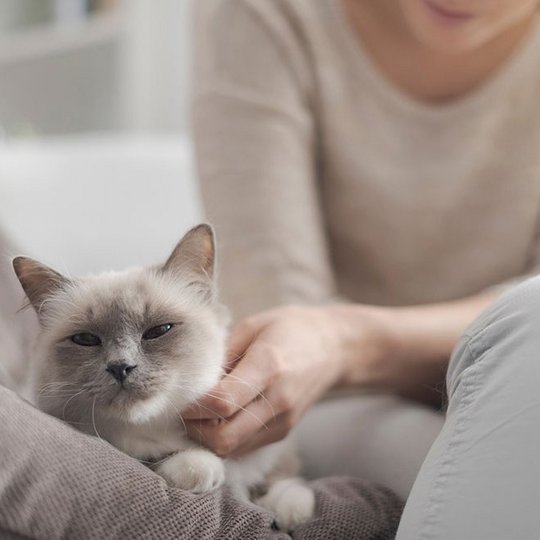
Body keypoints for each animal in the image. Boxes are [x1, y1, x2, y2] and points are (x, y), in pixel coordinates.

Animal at [12, 224, 314, 532]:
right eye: (86, 340)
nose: (121, 367)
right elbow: (162, 459)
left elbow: (282, 475)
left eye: (158, 331)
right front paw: (199, 468)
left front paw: (292, 510)